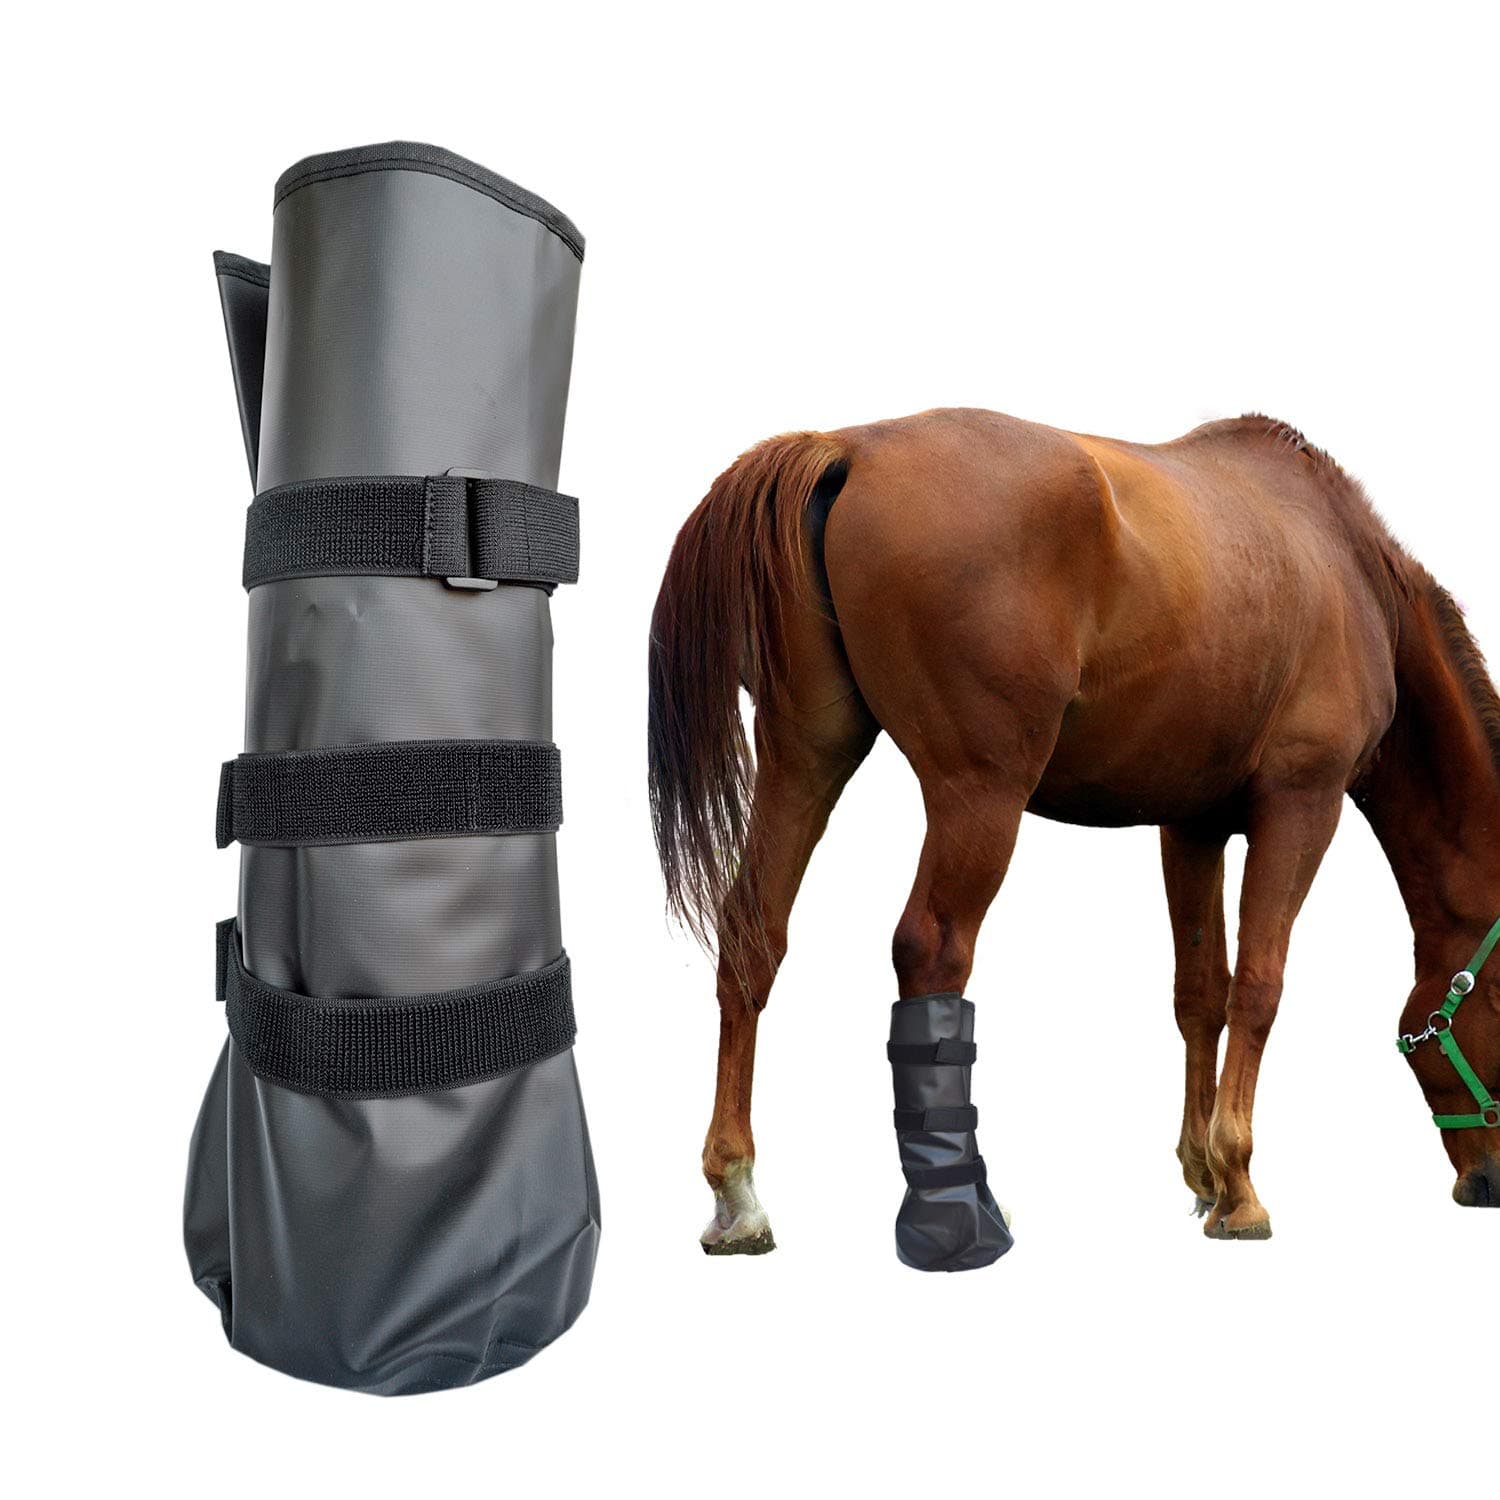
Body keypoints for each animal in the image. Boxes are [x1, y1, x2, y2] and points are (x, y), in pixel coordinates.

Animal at [648, 409, 1500, 1264]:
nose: (1489, 1182)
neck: (1348, 573)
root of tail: (849, 448)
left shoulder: (1191, 824)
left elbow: (1202, 993)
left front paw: (1203, 1174)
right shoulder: (1302, 804)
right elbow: (1258, 988)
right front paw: (1240, 1188)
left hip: (806, 759)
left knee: (754, 936)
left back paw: (738, 1195)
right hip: (979, 794)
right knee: (932, 948)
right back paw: (958, 1215)